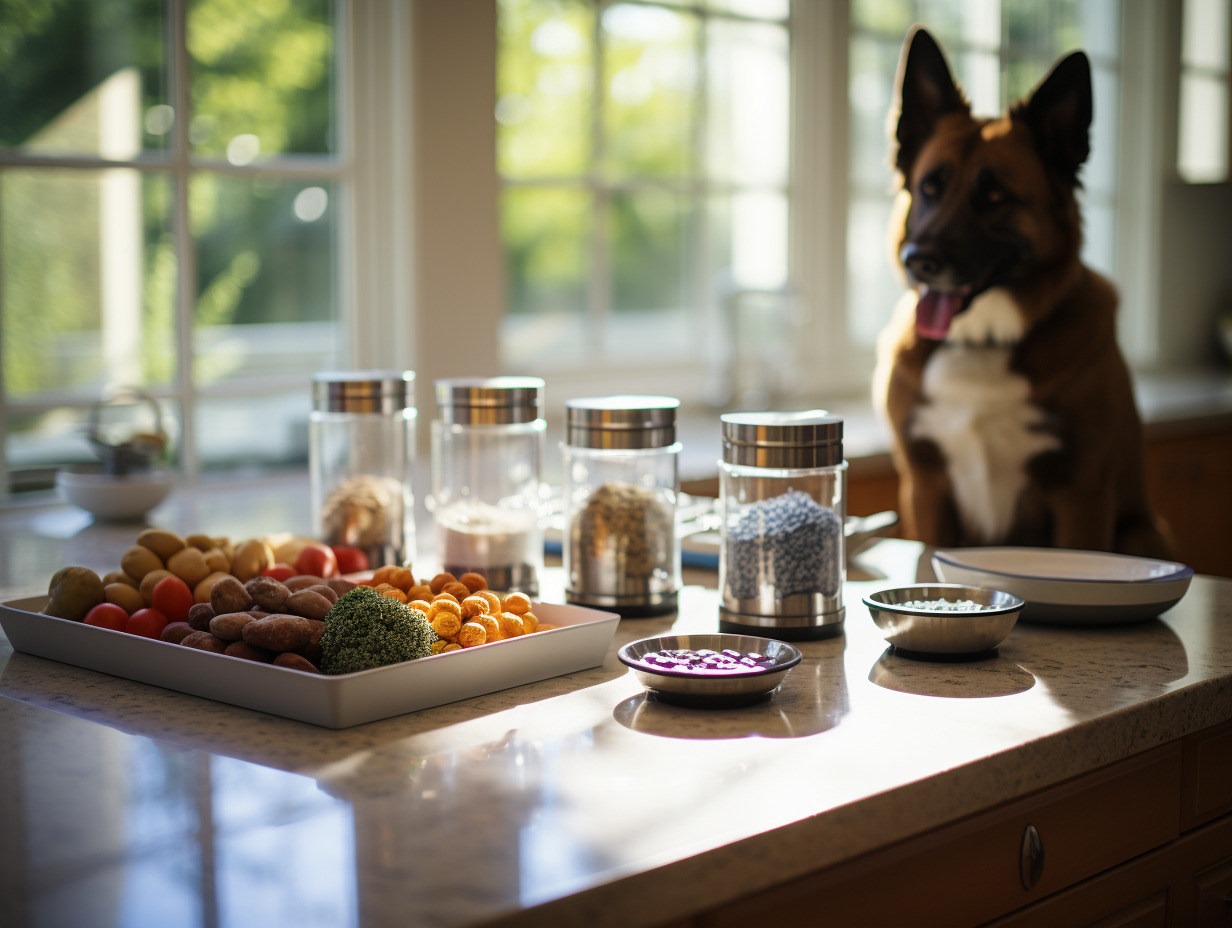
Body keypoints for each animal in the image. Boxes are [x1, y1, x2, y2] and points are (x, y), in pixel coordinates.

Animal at [872, 27, 1167, 557]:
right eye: (929, 187)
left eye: (994, 196)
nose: (917, 260)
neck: (982, 342)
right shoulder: (925, 488)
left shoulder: (1082, 494)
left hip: (1142, 532)